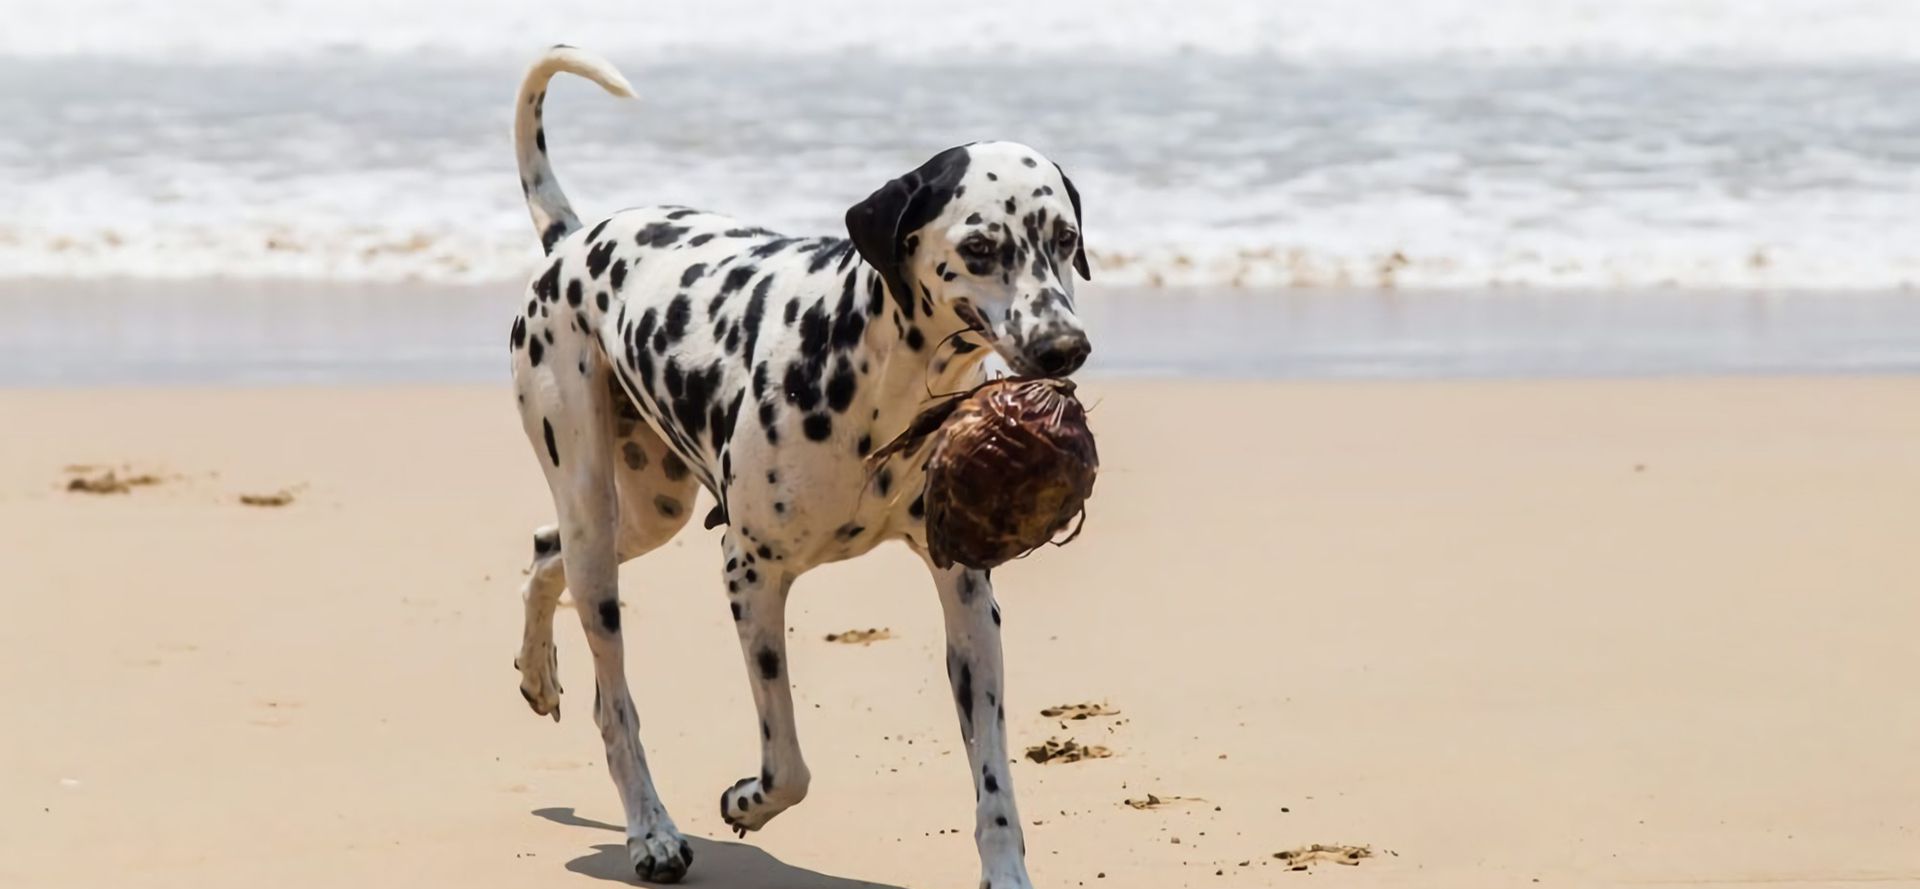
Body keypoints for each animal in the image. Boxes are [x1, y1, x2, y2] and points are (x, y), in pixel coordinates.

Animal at [503, 48, 1090, 889]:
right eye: (980, 248)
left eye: (1064, 237)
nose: (1064, 347)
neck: (877, 375)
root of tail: (572, 240)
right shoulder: (750, 571)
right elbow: (788, 765)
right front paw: (746, 801)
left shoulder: (969, 600)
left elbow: (994, 781)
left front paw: (1005, 872)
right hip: (594, 512)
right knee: (613, 700)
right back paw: (651, 830)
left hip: (648, 510)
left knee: (544, 547)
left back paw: (536, 671)